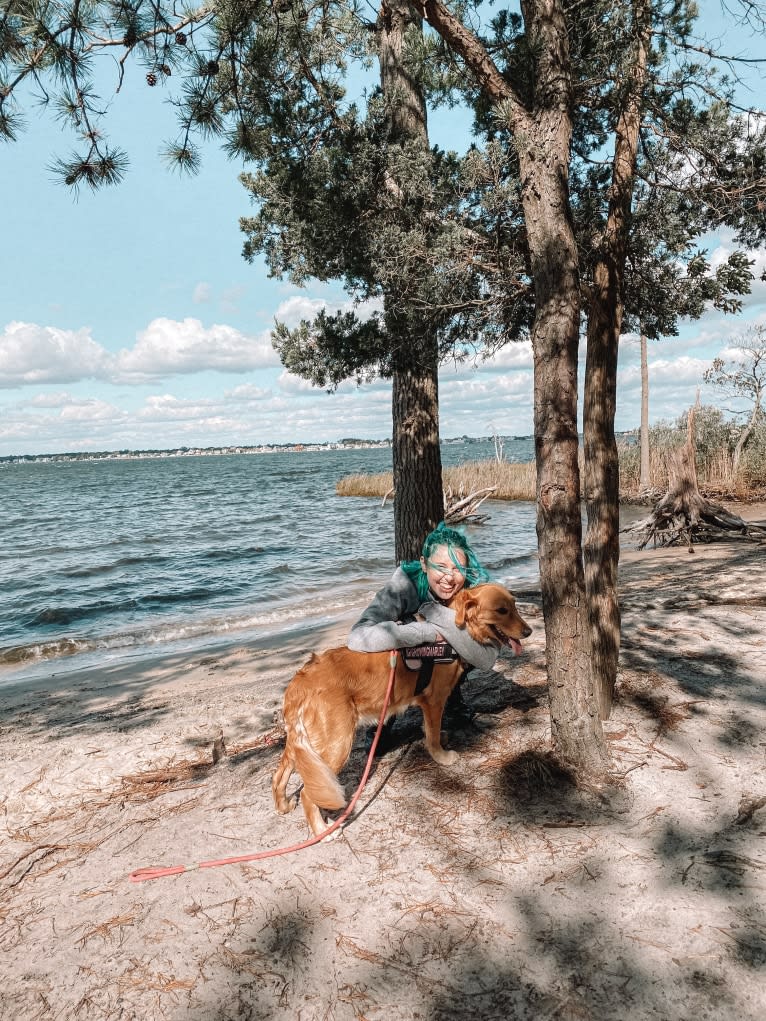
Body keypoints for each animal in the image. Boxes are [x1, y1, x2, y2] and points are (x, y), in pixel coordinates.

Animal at [271, 584, 535, 837]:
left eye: (514, 605)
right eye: (502, 610)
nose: (528, 632)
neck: (451, 632)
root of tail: (300, 682)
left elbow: (432, 730)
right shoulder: (434, 700)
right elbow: (432, 735)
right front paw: (441, 756)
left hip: (303, 744)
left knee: (279, 775)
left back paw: (283, 805)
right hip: (336, 743)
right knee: (308, 793)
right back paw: (322, 831)